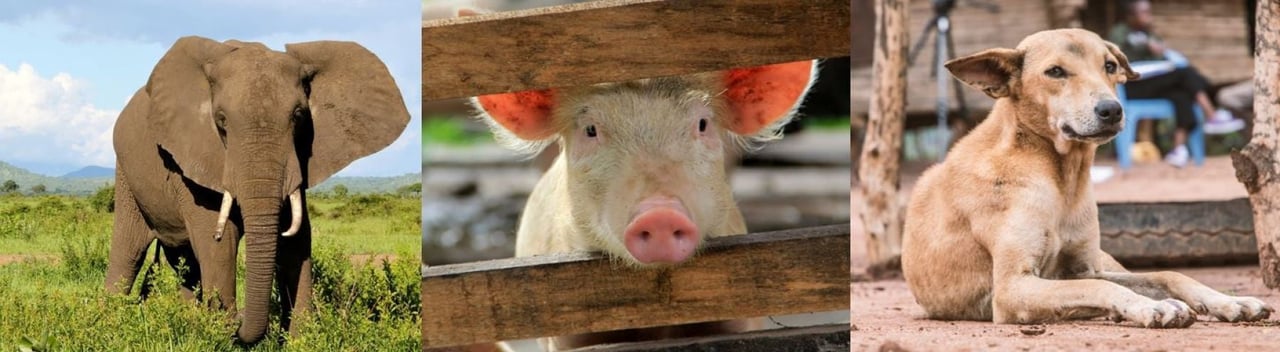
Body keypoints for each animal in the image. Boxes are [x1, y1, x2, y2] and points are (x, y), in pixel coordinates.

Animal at [105, 36, 412, 345]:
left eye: (299, 116)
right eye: (221, 120)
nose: (238, 321)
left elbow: (296, 243)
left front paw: (299, 342)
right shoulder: (195, 157)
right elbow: (219, 243)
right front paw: (220, 335)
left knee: (185, 264)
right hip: (126, 172)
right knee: (129, 252)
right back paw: (110, 321)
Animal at [901, 28, 1269, 330]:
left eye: (1109, 66)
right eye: (1055, 71)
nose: (1112, 110)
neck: (1061, 177)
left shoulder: (1084, 267)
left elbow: (1166, 275)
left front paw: (1222, 301)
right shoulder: (1012, 288)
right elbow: (1098, 287)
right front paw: (1149, 307)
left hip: (1105, 258)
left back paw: (1231, 302)